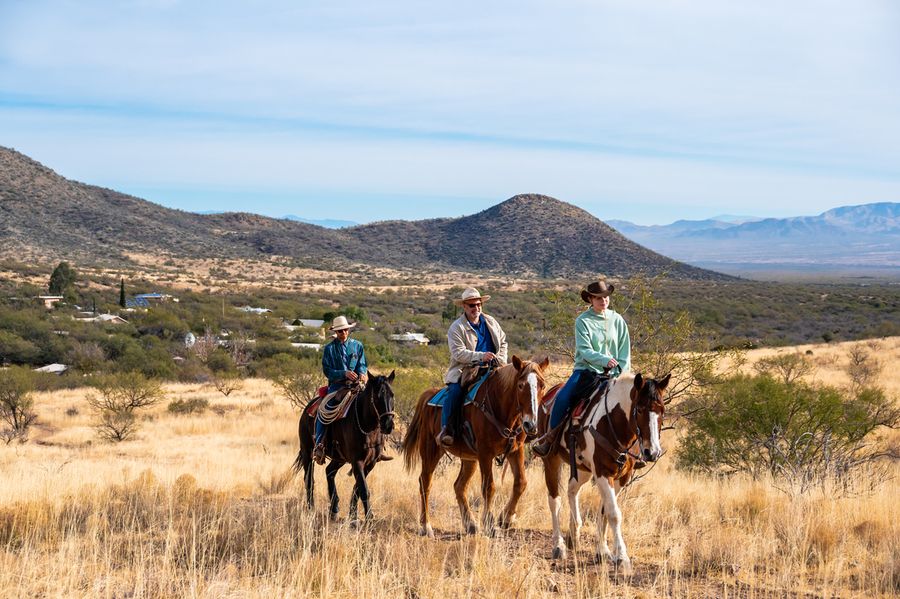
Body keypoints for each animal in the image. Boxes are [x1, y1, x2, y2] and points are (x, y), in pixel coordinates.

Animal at [294, 372, 396, 524]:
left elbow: (358, 488)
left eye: (392, 395)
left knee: (329, 472)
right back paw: (311, 509)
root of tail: (308, 408)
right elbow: (364, 489)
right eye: (377, 396)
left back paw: (334, 508)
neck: (368, 427)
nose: (388, 425)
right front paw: (369, 518)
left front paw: (353, 515)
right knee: (309, 479)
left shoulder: (370, 463)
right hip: (307, 452)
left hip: (339, 458)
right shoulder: (357, 462)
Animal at [400, 356, 548, 540]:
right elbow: (489, 487)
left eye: (542, 385)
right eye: (521, 385)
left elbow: (520, 483)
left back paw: (470, 524)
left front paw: (505, 518)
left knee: (459, 486)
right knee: (425, 482)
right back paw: (426, 526)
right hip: (430, 451)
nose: (530, 425)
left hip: (469, 458)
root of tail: (429, 395)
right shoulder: (485, 453)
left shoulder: (515, 450)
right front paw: (490, 524)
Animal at [536, 370, 668, 572]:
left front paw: (603, 551)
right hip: (551, 460)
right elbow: (614, 514)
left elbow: (605, 511)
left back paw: (574, 532)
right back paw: (559, 545)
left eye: (662, 411)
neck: (614, 423)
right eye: (640, 409)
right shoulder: (603, 473)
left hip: (583, 469)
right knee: (554, 501)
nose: (651, 452)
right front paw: (621, 557)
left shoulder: (621, 477)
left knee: (572, 489)